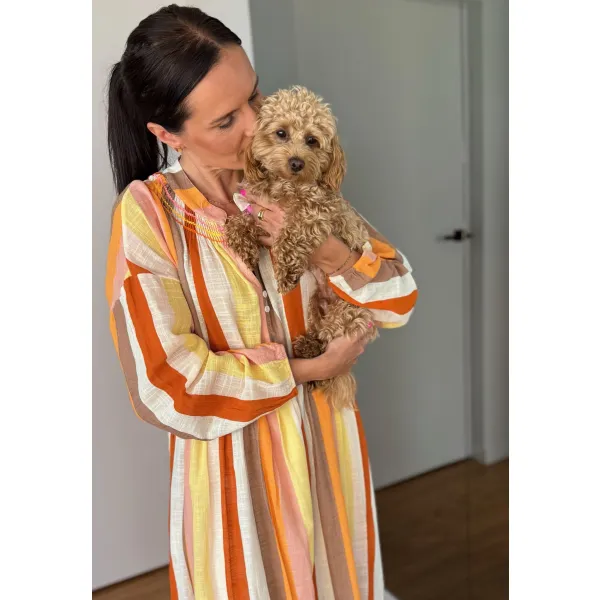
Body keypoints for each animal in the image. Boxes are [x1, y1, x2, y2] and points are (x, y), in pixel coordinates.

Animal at [225, 86, 377, 410]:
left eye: (312, 140)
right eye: (281, 133)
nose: (296, 162)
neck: (288, 185)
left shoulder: (316, 213)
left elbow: (293, 232)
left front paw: (285, 271)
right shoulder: (260, 209)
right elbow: (242, 220)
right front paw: (241, 241)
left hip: (352, 311)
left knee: (332, 334)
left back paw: (312, 349)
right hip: (316, 307)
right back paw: (309, 346)